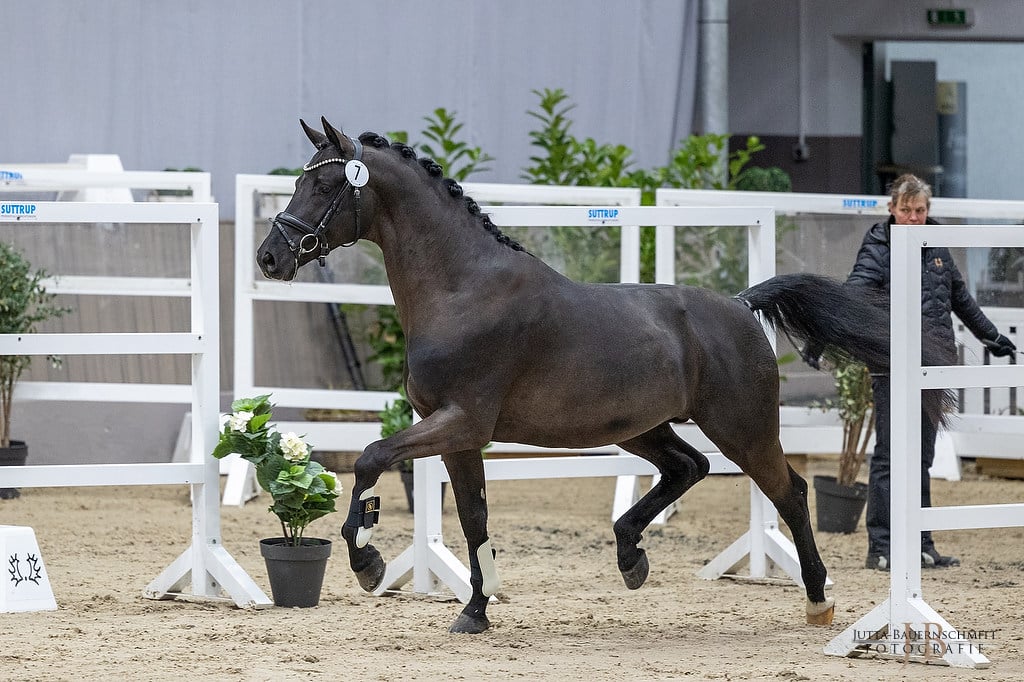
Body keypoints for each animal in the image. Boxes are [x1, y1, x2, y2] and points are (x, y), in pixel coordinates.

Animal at [260, 115, 937, 630]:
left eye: (325, 186)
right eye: (301, 181)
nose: (270, 257)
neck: (461, 289)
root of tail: (742, 307)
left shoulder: (459, 421)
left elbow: (371, 457)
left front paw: (368, 562)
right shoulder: (458, 436)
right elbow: (475, 520)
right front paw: (475, 611)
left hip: (742, 428)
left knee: (788, 492)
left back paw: (818, 601)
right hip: (642, 428)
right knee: (688, 467)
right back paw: (630, 556)